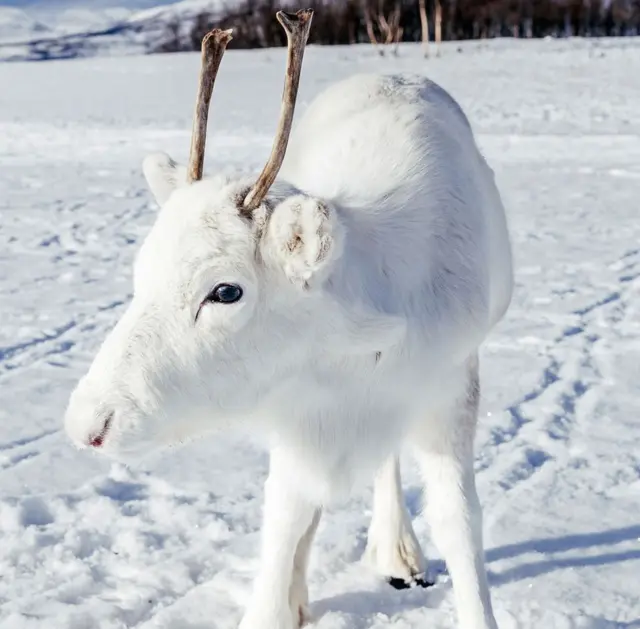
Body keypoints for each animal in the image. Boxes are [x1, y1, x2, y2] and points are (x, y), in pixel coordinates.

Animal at [64, 8, 513, 629]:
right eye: (141, 270)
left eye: (225, 291)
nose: (89, 424)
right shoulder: (296, 415)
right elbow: (284, 520)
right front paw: (281, 600)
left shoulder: (449, 387)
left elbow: (460, 523)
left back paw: (397, 550)